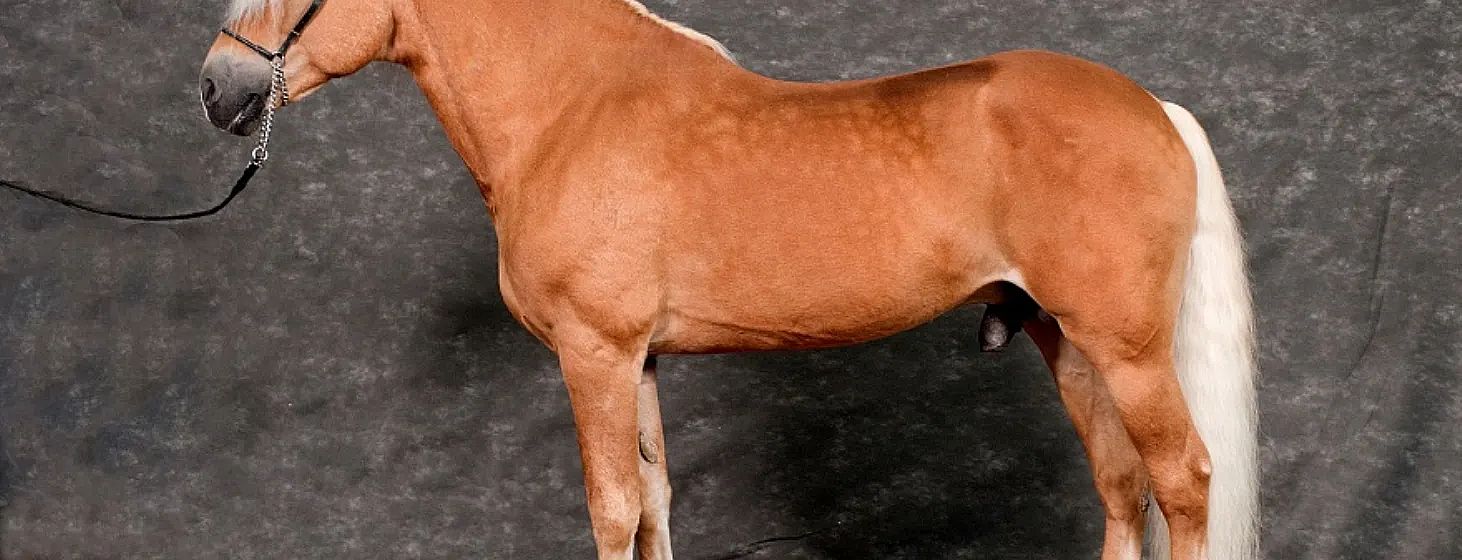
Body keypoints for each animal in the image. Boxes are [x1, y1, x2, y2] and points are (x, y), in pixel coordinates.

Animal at [199, 1, 1259, 558]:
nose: (215, 87)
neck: (570, 107)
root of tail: (1152, 109)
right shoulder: (637, 361)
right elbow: (655, 499)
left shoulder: (594, 354)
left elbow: (613, 507)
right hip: (1065, 340)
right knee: (1121, 484)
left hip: (1128, 352)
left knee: (1181, 479)